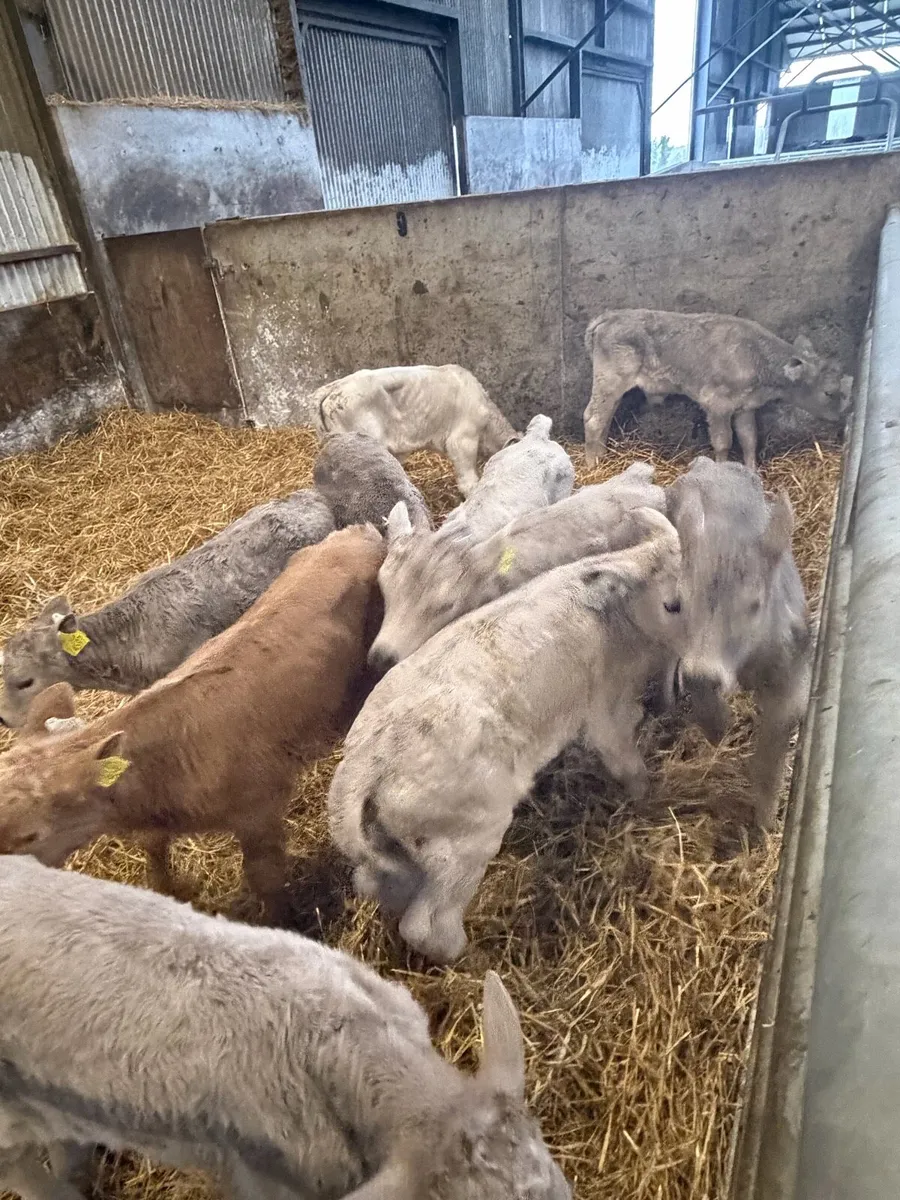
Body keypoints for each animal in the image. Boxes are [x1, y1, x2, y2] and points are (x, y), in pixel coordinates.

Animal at [330, 510, 686, 963]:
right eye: (673, 603)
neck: (617, 610)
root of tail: (364, 763)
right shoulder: (607, 709)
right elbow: (626, 761)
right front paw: (648, 798)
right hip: (464, 837)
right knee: (426, 927)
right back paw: (468, 956)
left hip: (391, 843)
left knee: (376, 884)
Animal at [583, 309, 853, 470]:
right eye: (828, 392)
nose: (842, 416)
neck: (755, 356)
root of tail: (609, 316)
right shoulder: (717, 404)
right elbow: (724, 441)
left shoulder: (745, 407)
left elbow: (749, 439)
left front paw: (752, 472)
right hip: (610, 380)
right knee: (593, 418)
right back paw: (592, 465)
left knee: (604, 416)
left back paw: (601, 454)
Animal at [666, 456, 812, 829]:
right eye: (678, 604)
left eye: (756, 604)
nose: (704, 674)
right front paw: (718, 728)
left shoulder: (791, 665)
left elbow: (775, 739)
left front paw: (765, 822)